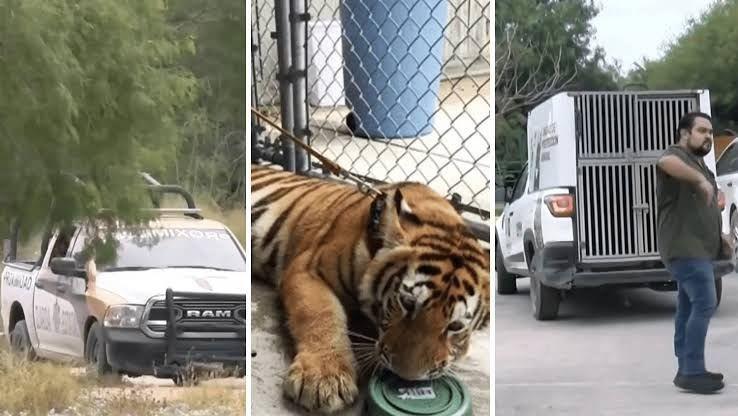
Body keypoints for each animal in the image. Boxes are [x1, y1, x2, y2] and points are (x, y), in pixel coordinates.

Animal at [250, 162, 486, 412]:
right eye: (407, 303)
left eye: (455, 325)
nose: (407, 377)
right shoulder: (308, 269)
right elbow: (321, 314)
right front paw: (324, 379)